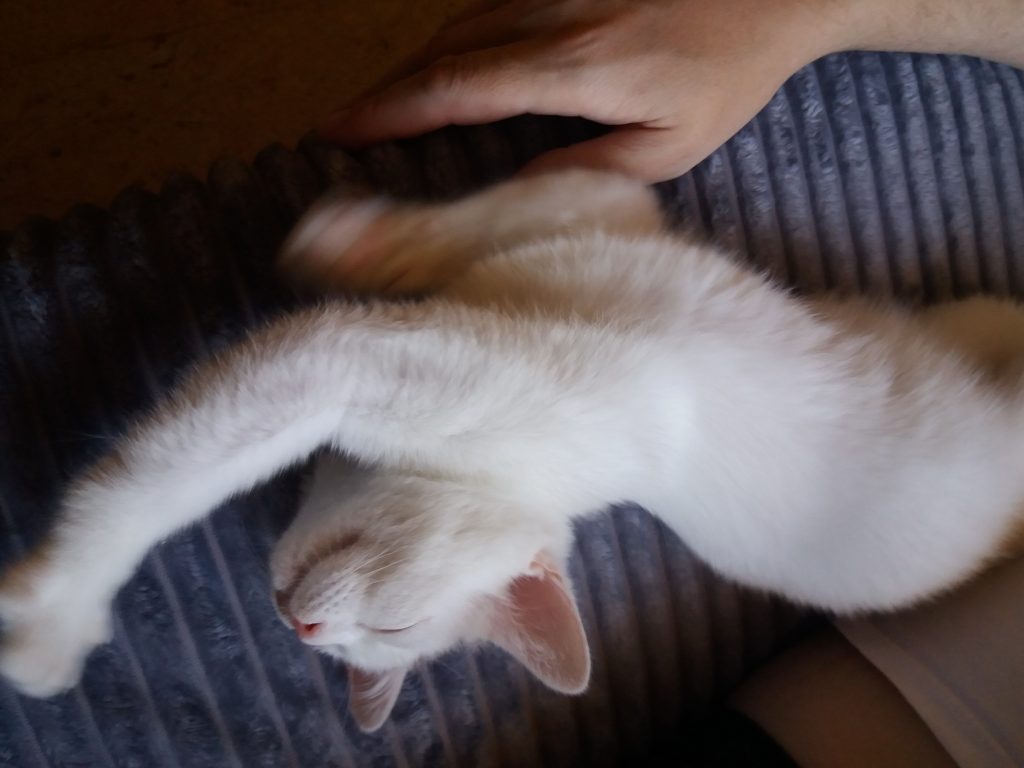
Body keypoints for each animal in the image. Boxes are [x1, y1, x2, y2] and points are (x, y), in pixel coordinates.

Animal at [2, 169, 1024, 732]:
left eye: (394, 633)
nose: (299, 630)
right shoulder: (602, 214)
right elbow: (492, 216)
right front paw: (360, 243)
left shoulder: (351, 356)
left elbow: (156, 481)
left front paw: (54, 616)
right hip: (959, 324)